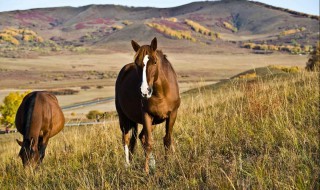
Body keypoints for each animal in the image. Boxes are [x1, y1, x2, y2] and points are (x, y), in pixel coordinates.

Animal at [115, 37, 180, 173]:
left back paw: (152, 163)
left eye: (154, 62)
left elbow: (167, 139)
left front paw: (167, 164)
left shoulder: (172, 114)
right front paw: (146, 171)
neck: (161, 93)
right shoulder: (146, 115)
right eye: (137, 63)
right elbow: (149, 143)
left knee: (141, 137)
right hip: (123, 118)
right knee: (126, 139)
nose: (144, 91)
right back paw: (128, 165)